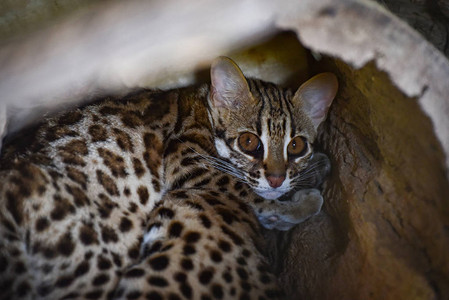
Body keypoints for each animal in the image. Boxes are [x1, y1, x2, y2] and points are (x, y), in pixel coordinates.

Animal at [0, 55, 336, 298]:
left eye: (296, 146)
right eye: (249, 142)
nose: (277, 179)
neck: (205, 105)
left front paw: (315, 168)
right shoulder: (189, 159)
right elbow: (242, 188)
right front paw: (302, 201)